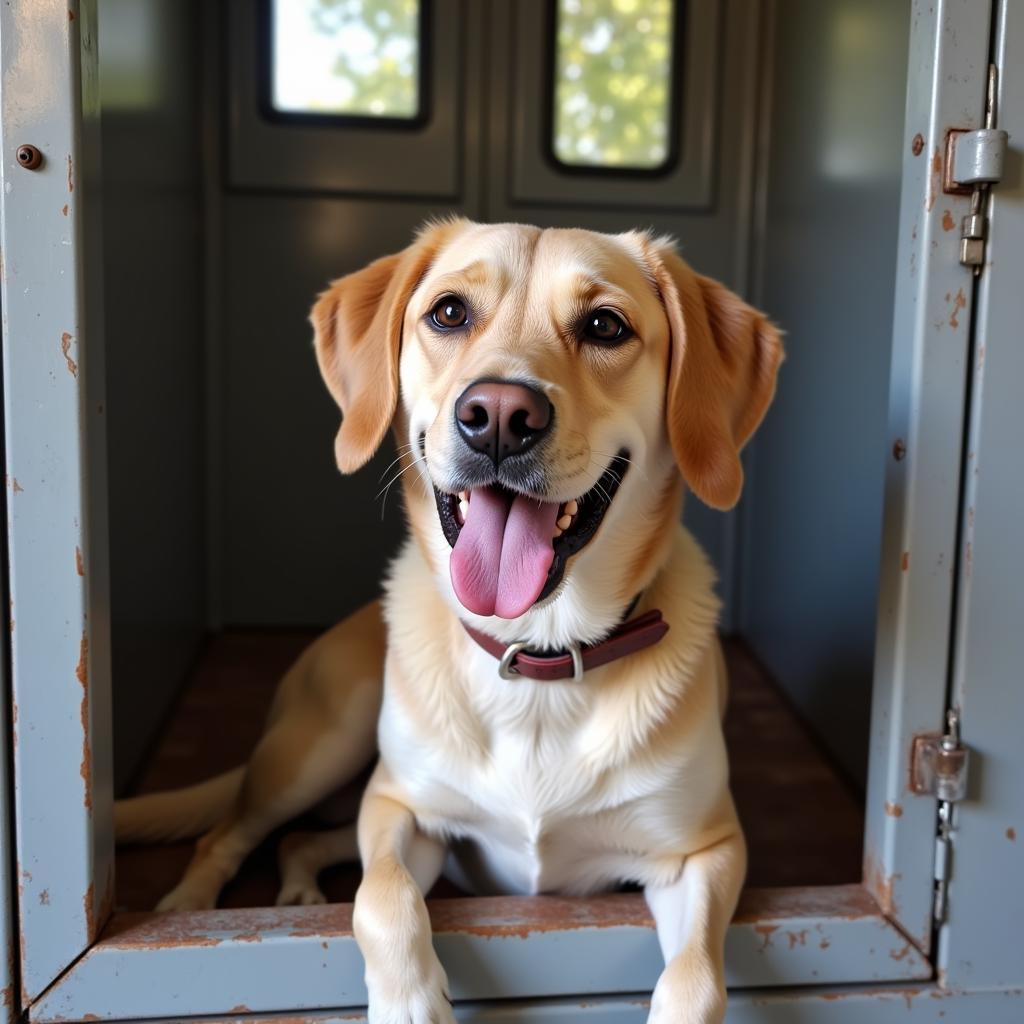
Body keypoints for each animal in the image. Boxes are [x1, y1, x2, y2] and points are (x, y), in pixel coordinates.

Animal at [114, 222, 782, 1024]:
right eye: (449, 313)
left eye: (605, 326)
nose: (498, 415)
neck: (537, 659)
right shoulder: (399, 806)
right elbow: (383, 899)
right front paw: (409, 1001)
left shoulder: (705, 850)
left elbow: (694, 979)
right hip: (318, 750)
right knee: (228, 835)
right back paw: (190, 906)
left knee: (300, 845)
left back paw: (299, 890)